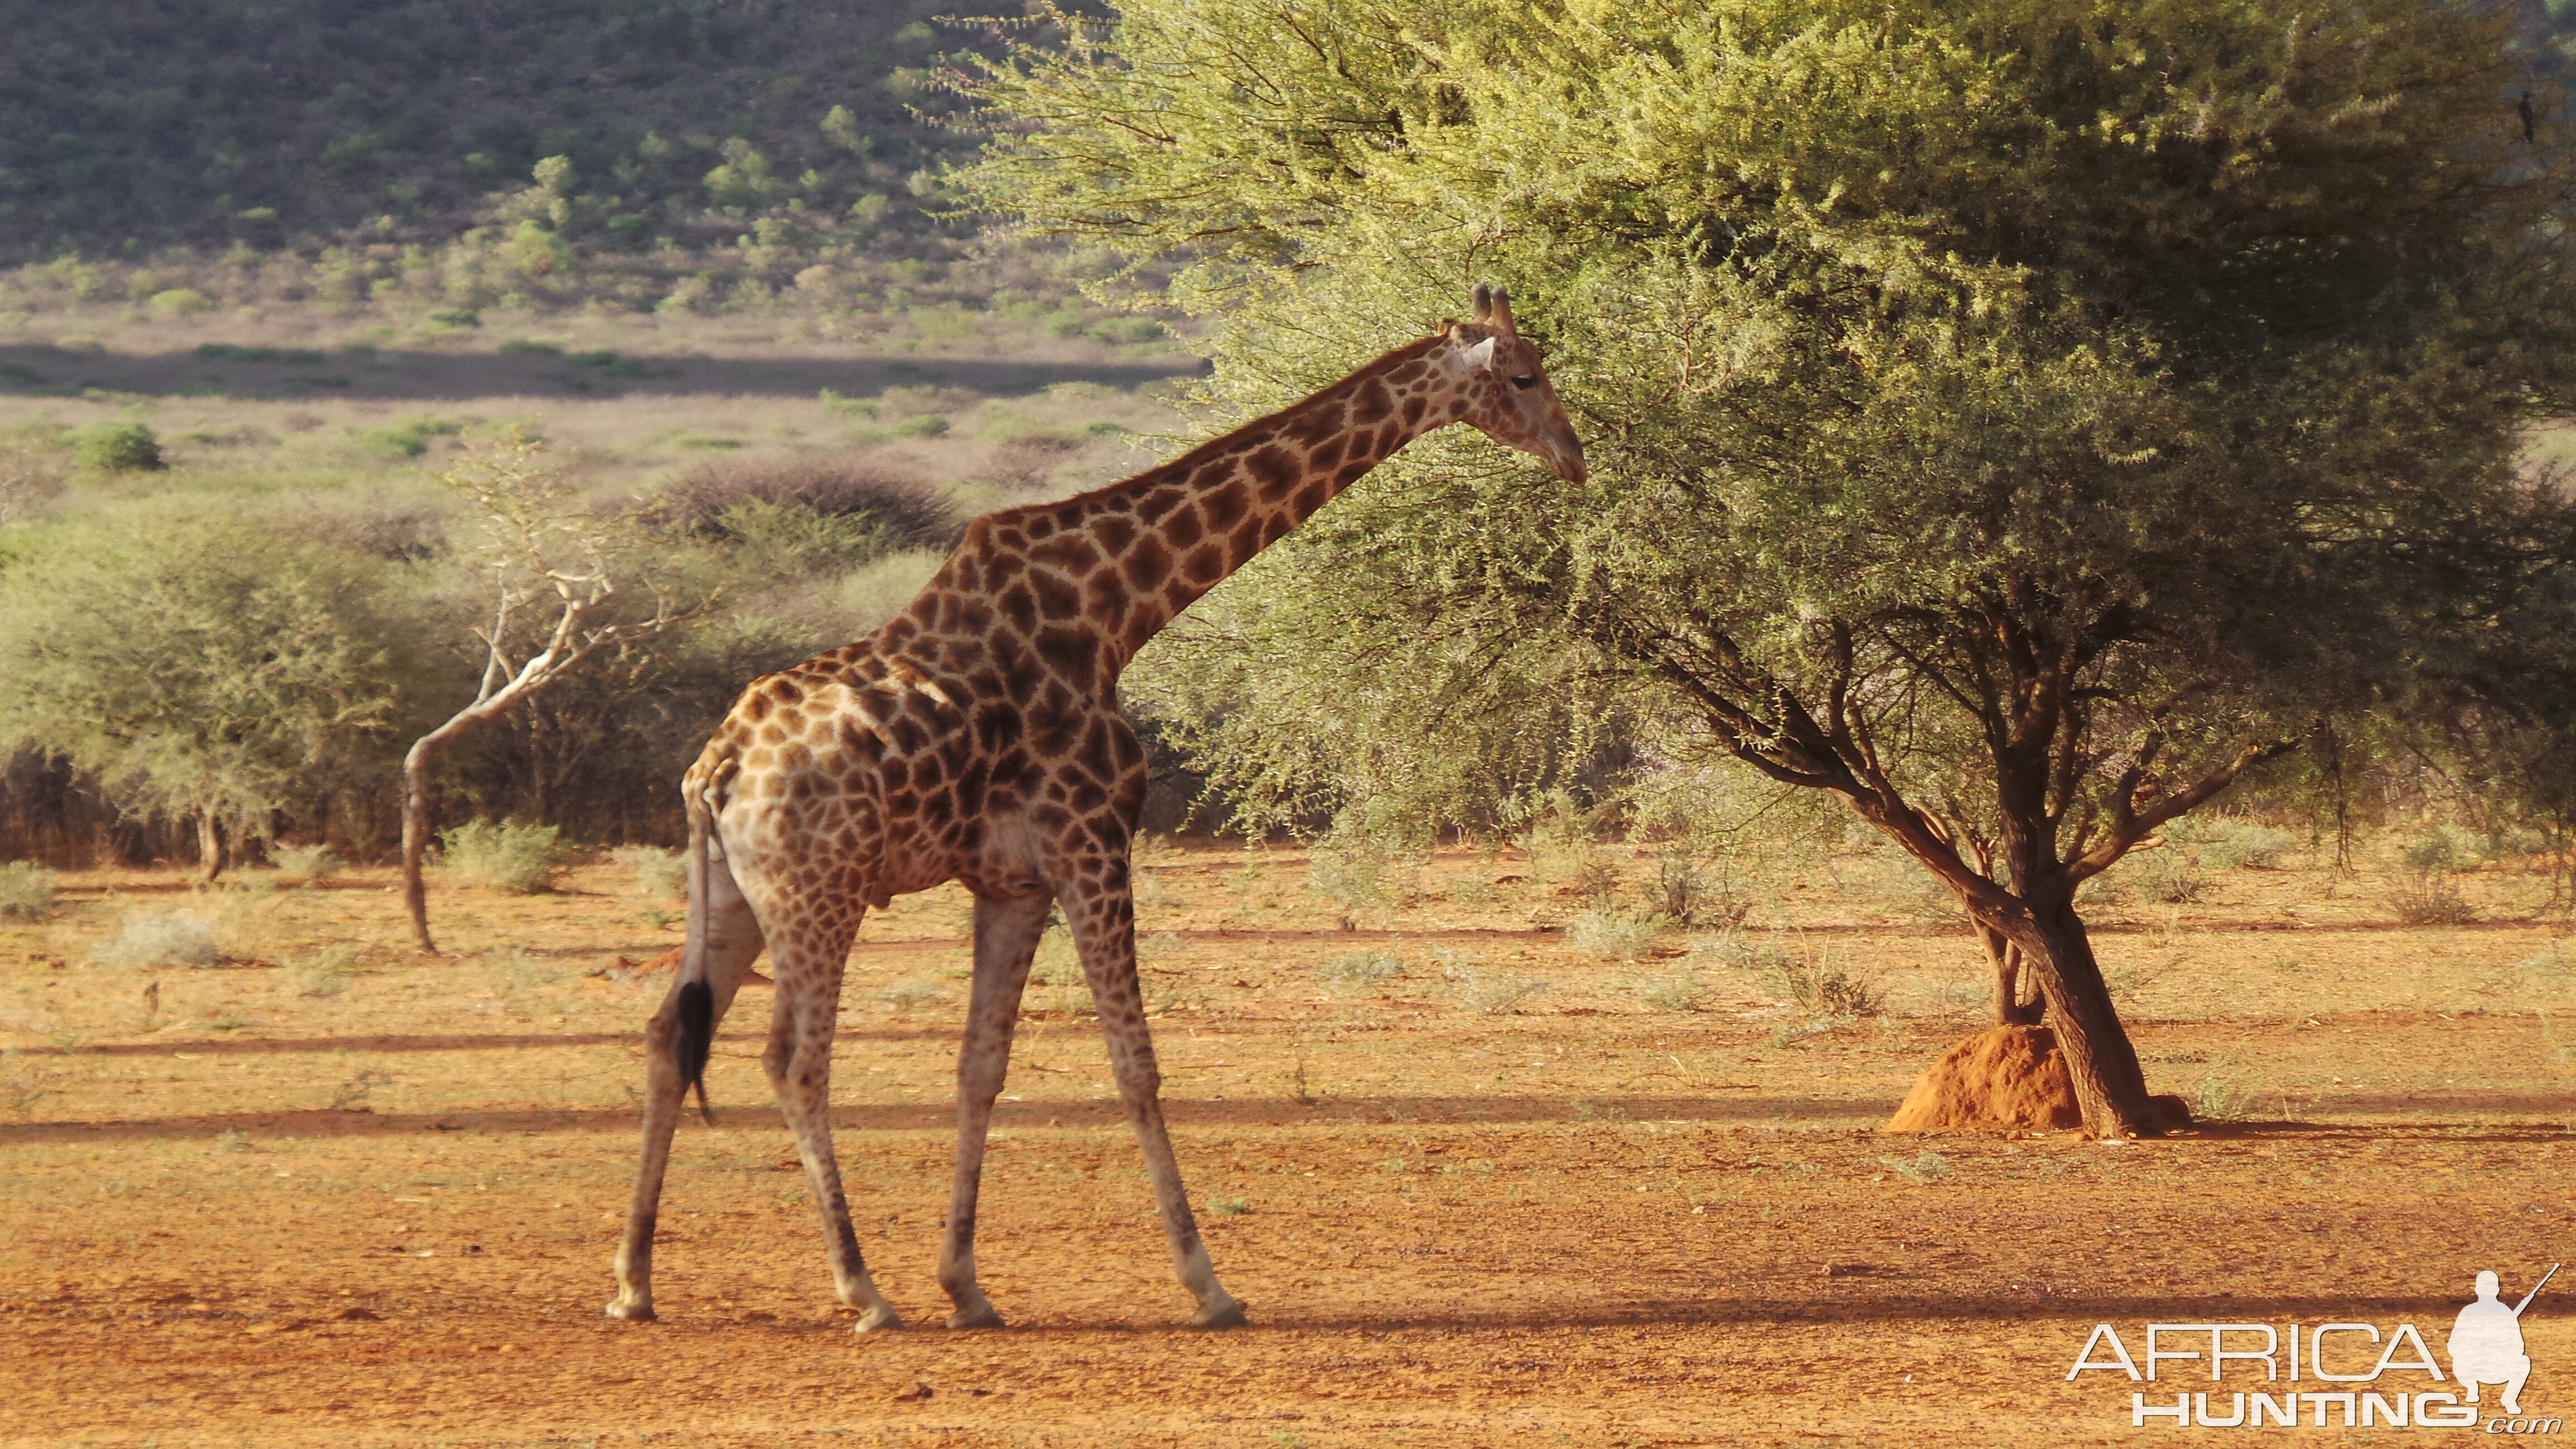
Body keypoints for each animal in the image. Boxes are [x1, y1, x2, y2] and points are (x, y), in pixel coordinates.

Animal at [608, 285, 1587, 1330]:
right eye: (1523, 375)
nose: (1575, 458)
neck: (1116, 609)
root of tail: (716, 767)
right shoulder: (1094, 845)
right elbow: (1135, 1063)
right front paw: (1208, 1284)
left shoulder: (1014, 882)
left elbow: (982, 1066)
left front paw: (967, 1285)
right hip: (816, 895)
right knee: (792, 1060)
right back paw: (862, 1290)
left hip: (735, 896)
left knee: (667, 1036)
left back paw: (634, 1282)